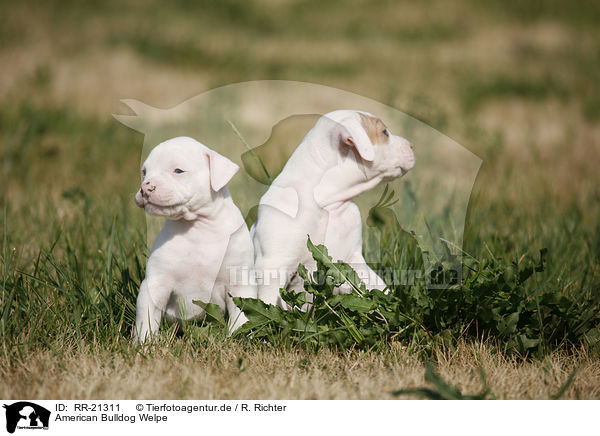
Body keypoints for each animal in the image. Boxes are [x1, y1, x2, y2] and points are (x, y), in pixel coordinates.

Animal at [134, 135, 255, 340]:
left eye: (178, 171)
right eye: (144, 172)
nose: (145, 188)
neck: (197, 227)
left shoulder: (239, 282)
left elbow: (240, 316)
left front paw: (237, 338)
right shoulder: (156, 283)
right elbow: (146, 317)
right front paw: (144, 343)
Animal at [251, 109, 414, 306]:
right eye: (384, 132)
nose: (412, 145)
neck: (326, 203)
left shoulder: (353, 258)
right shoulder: (273, 266)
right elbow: (268, 304)